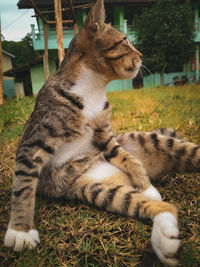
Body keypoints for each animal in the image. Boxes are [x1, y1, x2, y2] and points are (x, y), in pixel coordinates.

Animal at [3, 1, 199, 266]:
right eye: (125, 41)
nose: (141, 55)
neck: (93, 89)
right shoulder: (35, 140)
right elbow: (23, 185)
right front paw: (20, 231)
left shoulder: (105, 135)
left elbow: (125, 156)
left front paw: (145, 184)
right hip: (97, 190)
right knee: (165, 206)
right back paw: (165, 239)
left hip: (149, 143)